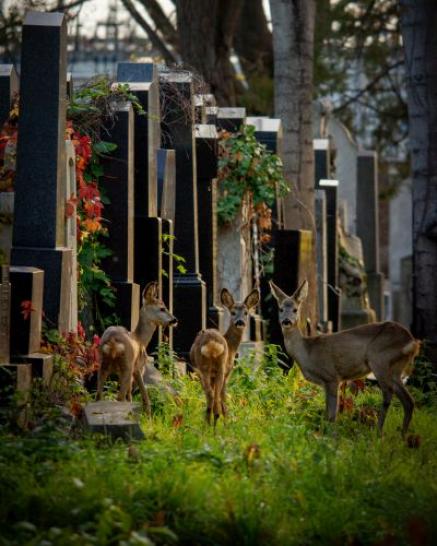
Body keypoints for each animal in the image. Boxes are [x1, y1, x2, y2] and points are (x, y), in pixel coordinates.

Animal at [96, 280, 176, 412]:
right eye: (162, 308)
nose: (174, 320)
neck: (140, 340)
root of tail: (113, 342)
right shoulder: (138, 368)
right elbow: (145, 396)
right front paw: (148, 414)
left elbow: (130, 397)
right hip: (126, 366)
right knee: (119, 397)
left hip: (103, 365)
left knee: (99, 396)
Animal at [188, 286, 258, 422]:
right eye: (233, 312)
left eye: (246, 312)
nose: (240, 322)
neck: (231, 347)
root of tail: (212, 344)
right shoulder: (227, 372)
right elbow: (223, 400)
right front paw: (228, 422)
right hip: (218, 368)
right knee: (215, 397)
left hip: (205, 369)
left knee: (210, 395)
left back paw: (209, 423)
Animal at [270, 278, 418, 436]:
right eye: (280, 309)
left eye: (295, 309)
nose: (286, 321)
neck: (307, 351)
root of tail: (412, 342)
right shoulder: (326, 383)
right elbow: (326, 413)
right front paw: (322, 434)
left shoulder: (332, 376)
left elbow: (332, 415)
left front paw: (331, 437)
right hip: (395, 368)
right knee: (408, 401)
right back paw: (402, 435)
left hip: (380, 360)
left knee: (388, 395)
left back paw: (378, 433)